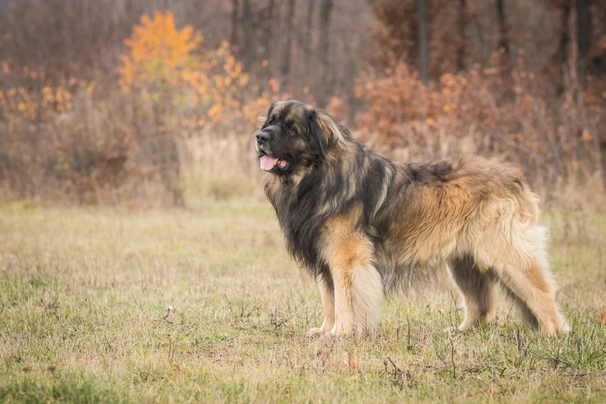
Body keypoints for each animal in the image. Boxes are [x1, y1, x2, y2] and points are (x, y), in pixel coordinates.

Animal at [255, 101, 568, 338]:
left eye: (290, 128)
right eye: (270, 121)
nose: (260, 137)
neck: (313, 177)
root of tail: (514, 177)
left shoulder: (346, 259)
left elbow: (344, 299)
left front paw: (340, 333)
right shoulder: (324, 257)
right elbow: (329, 299)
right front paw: (325, 330)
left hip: (505, 253)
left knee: (540, 291)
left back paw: (552, 334)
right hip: (464, 262)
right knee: (480, 304)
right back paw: (462, 331)